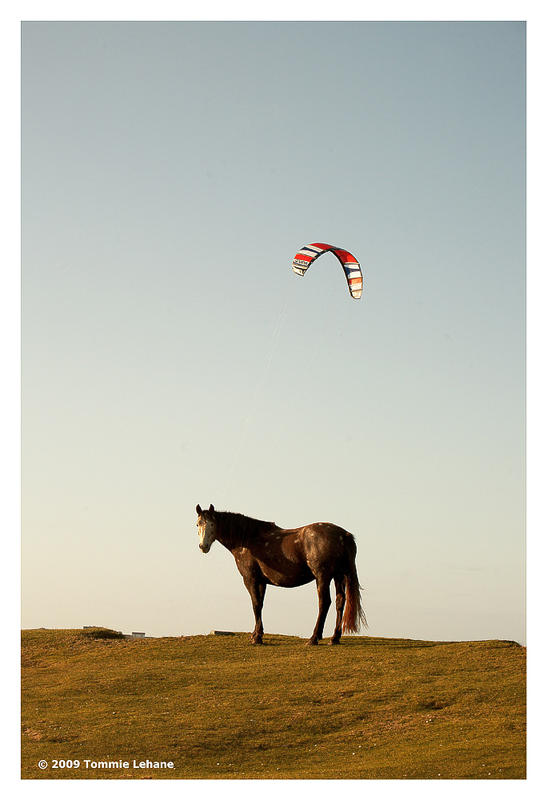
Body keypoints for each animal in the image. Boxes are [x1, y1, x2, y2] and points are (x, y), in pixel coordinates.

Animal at [195, 504, 366, 648]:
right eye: (198, 524)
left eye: (212, 524)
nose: (203, 546)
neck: (248, 540)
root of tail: (343, 534)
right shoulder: (262, 582)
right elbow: (260, 604)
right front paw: (256, 634)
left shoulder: (250, 579)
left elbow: (255, 604)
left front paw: (257, 638)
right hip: (339, 576)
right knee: (340, 602)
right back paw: (335, 638)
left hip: (322, 577)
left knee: (324, 602)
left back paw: (314, 638)